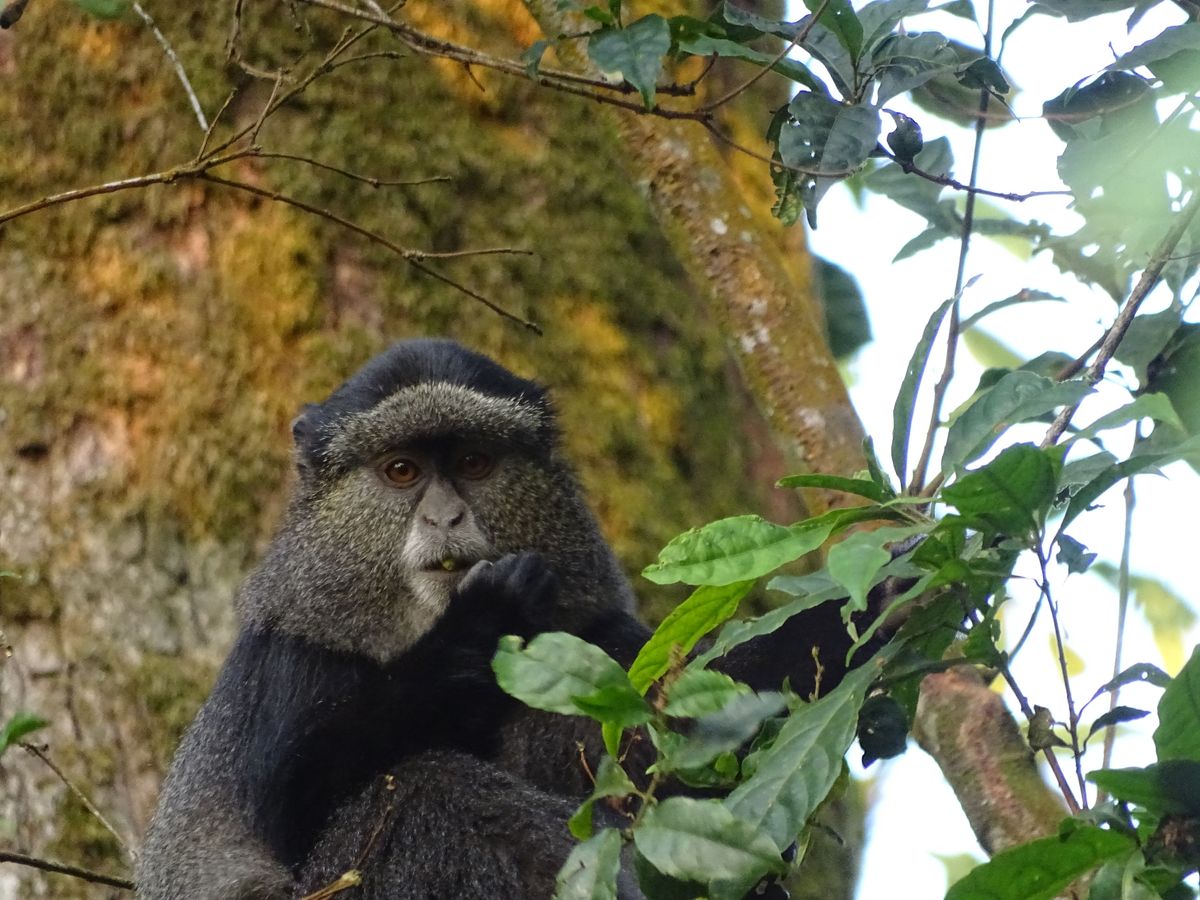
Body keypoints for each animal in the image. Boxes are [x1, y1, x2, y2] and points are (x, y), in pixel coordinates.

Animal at [137, 339, 878, 899]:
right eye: (401, 471)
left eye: (473, 461)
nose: (445, 516)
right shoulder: (292, 660)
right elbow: (297, 795)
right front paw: (481, 621)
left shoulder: (600, 638)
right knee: (420, 789)